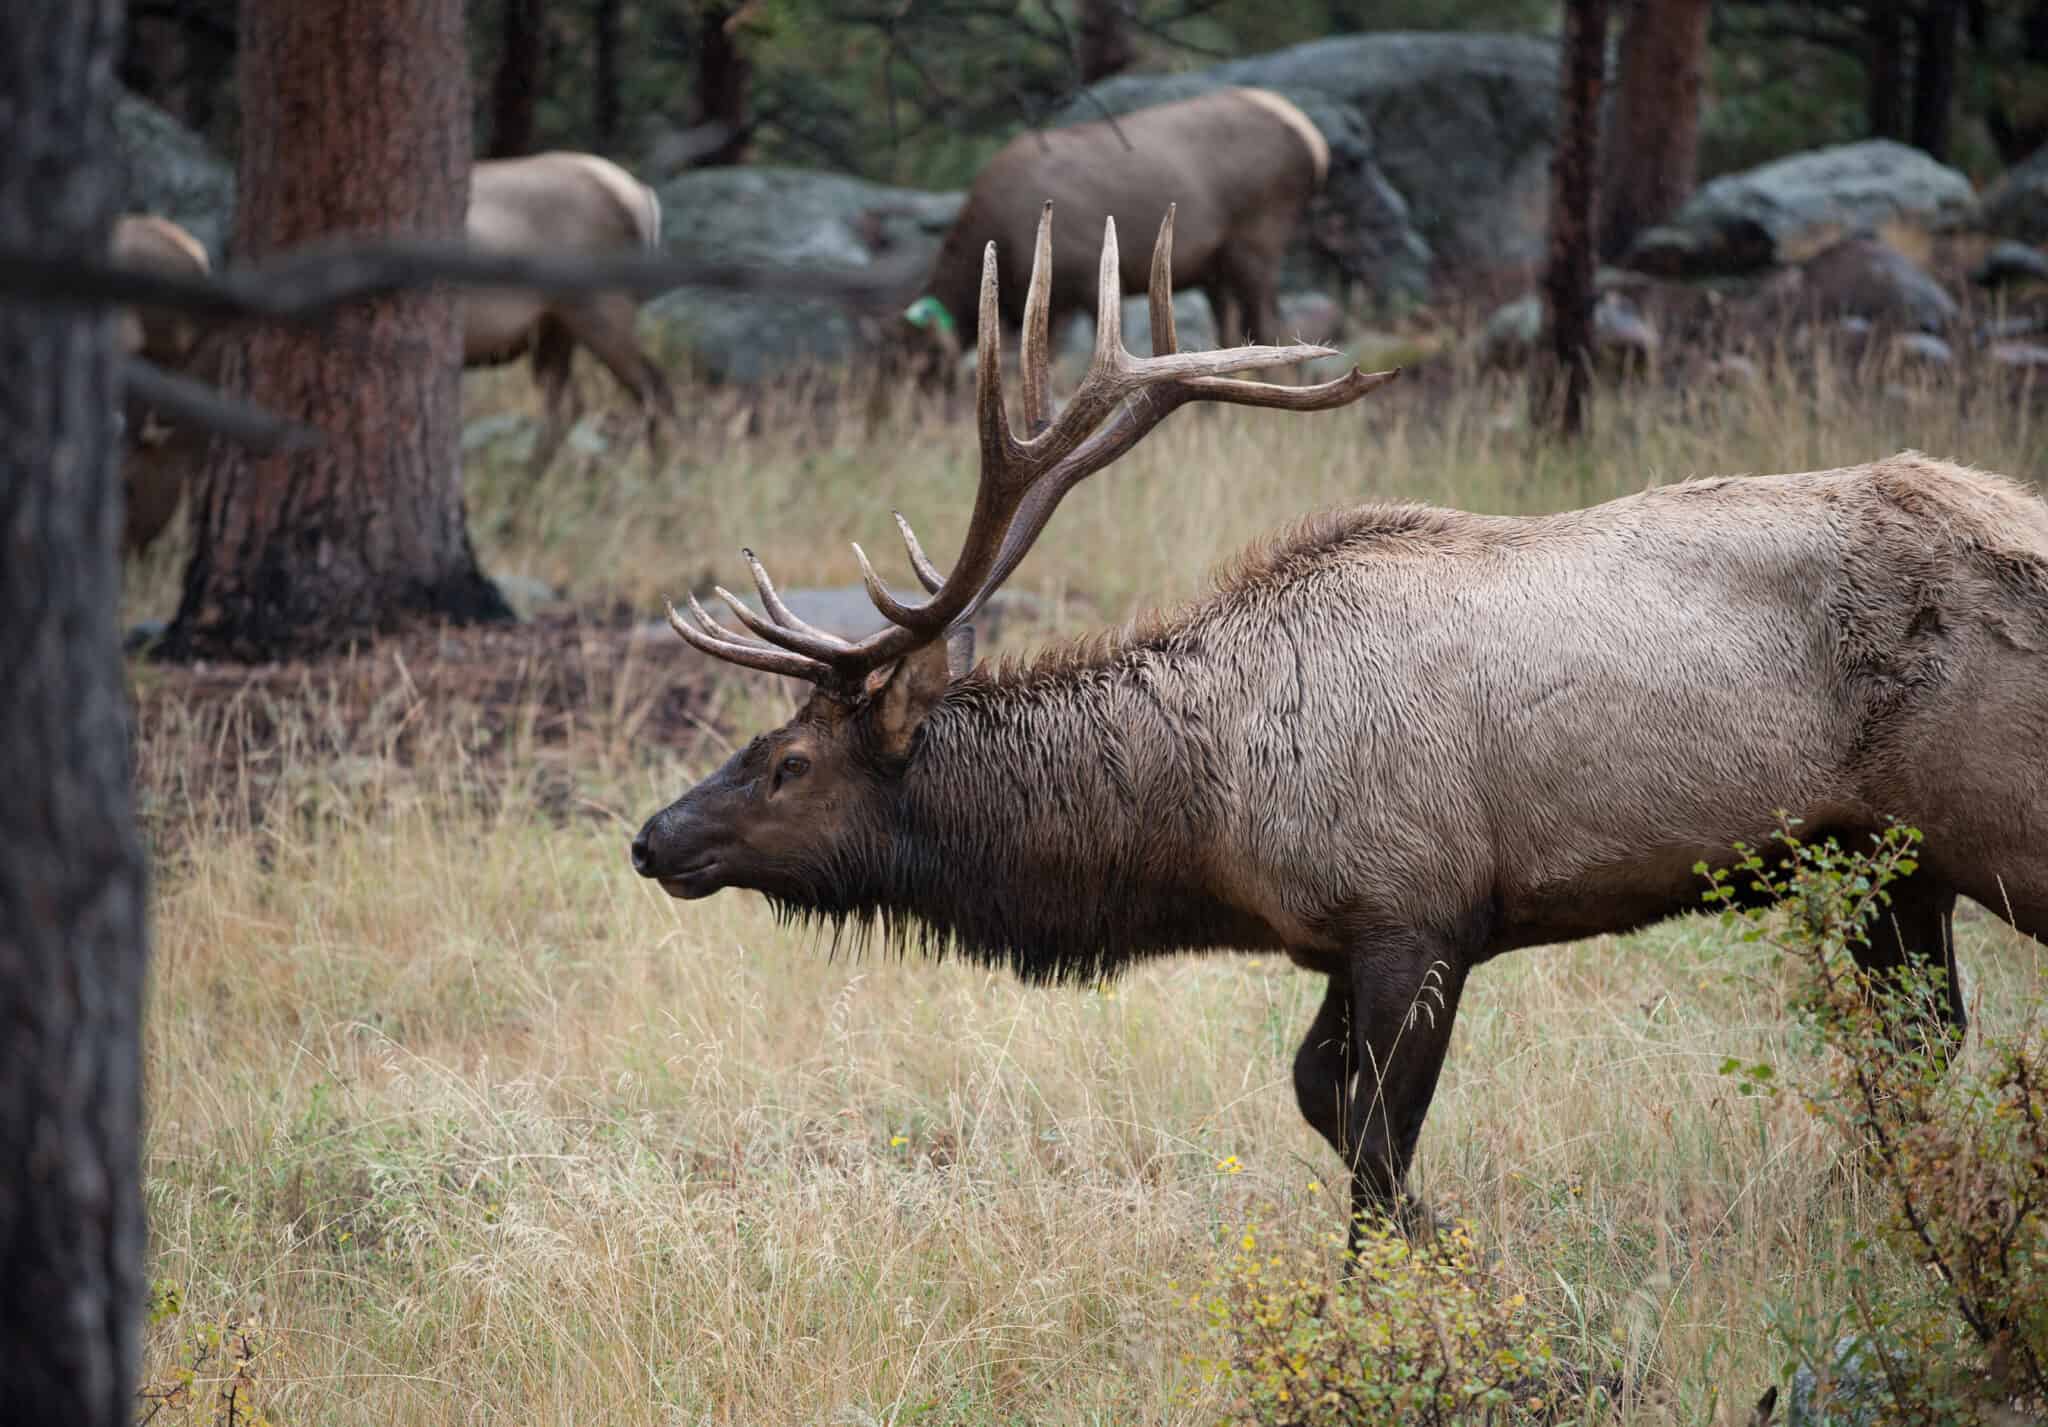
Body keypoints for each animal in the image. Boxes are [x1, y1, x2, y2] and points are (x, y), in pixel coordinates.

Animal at [630, 202, 2048, 1236]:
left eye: (786, 761)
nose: (650, 838)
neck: (1208, 820)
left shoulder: (1420, 909)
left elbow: (1374, 1135)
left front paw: (1414, 1279)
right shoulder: (1333, 931)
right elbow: (1319, 1097)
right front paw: (1429, 1245)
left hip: (1996, 826)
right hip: (1891, 861)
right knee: (1922, 1037)